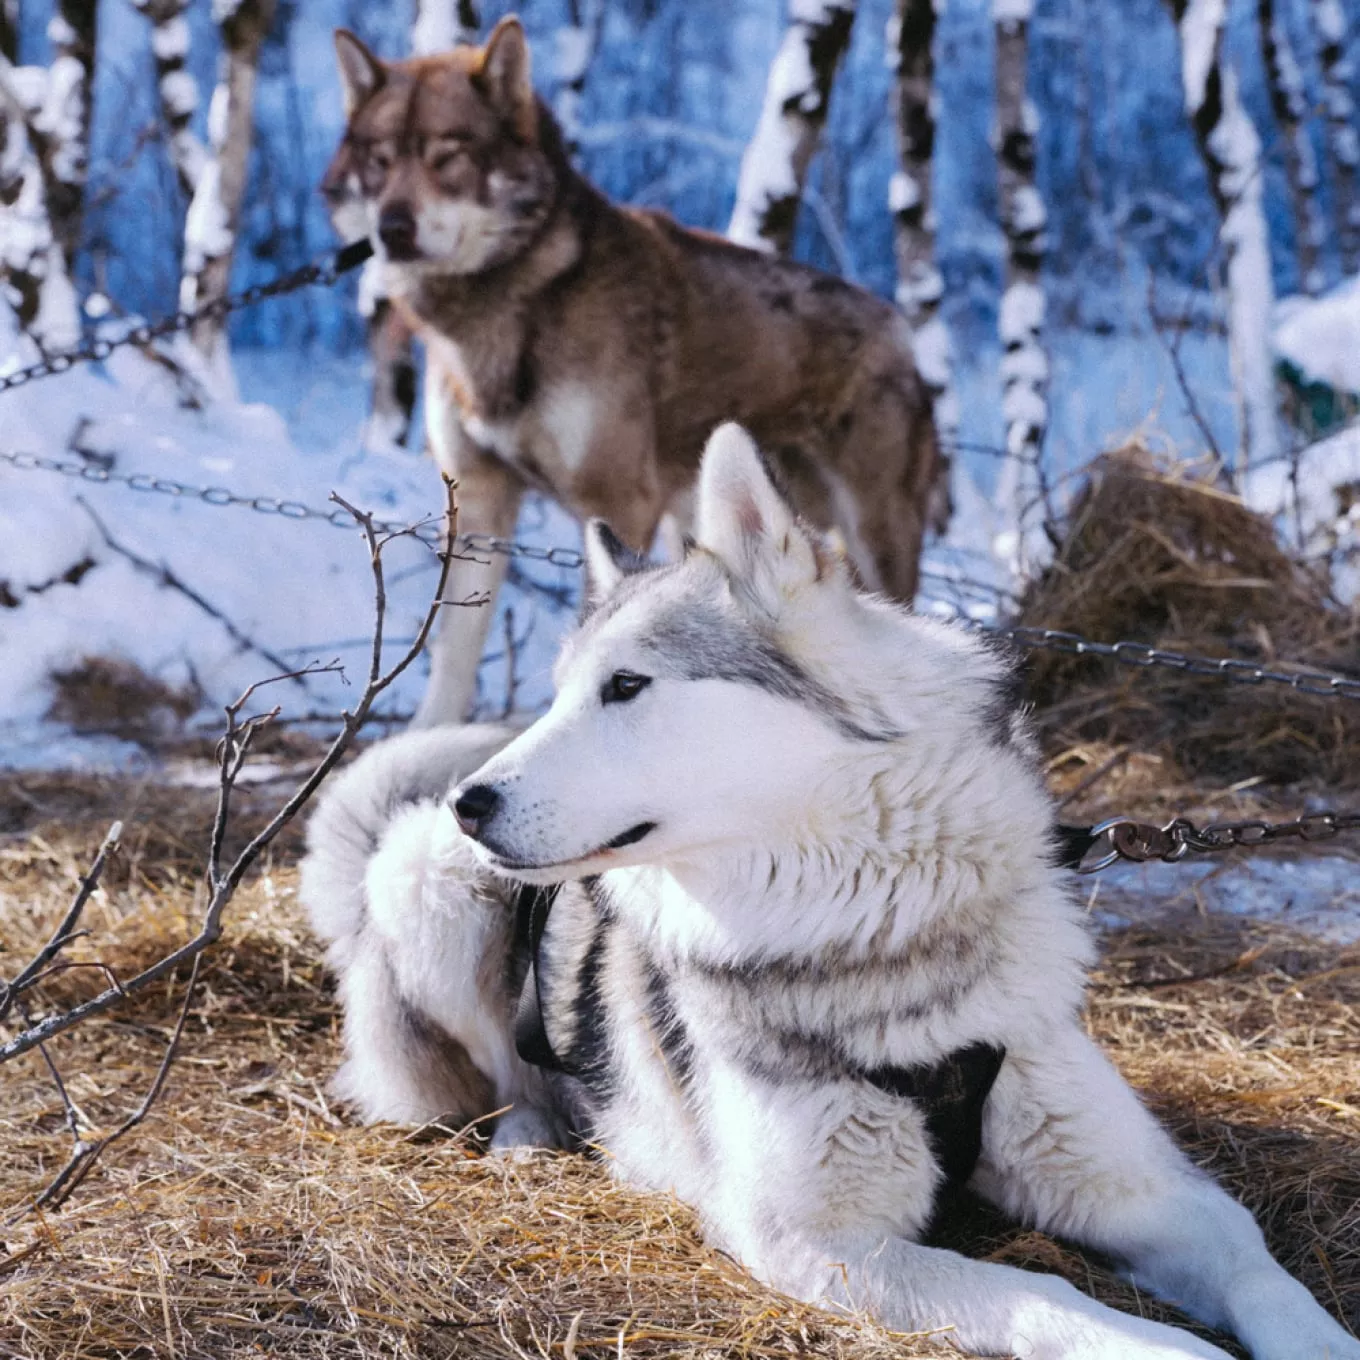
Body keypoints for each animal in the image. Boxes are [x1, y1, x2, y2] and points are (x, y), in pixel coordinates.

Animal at [322, 18, 941, 723]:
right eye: (379, 159)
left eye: (447, 155)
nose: (392, 229)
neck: (512, 303)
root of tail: (899, 328)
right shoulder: (480, 501)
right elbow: (451, 658)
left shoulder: (616, 499)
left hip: (873, 536)